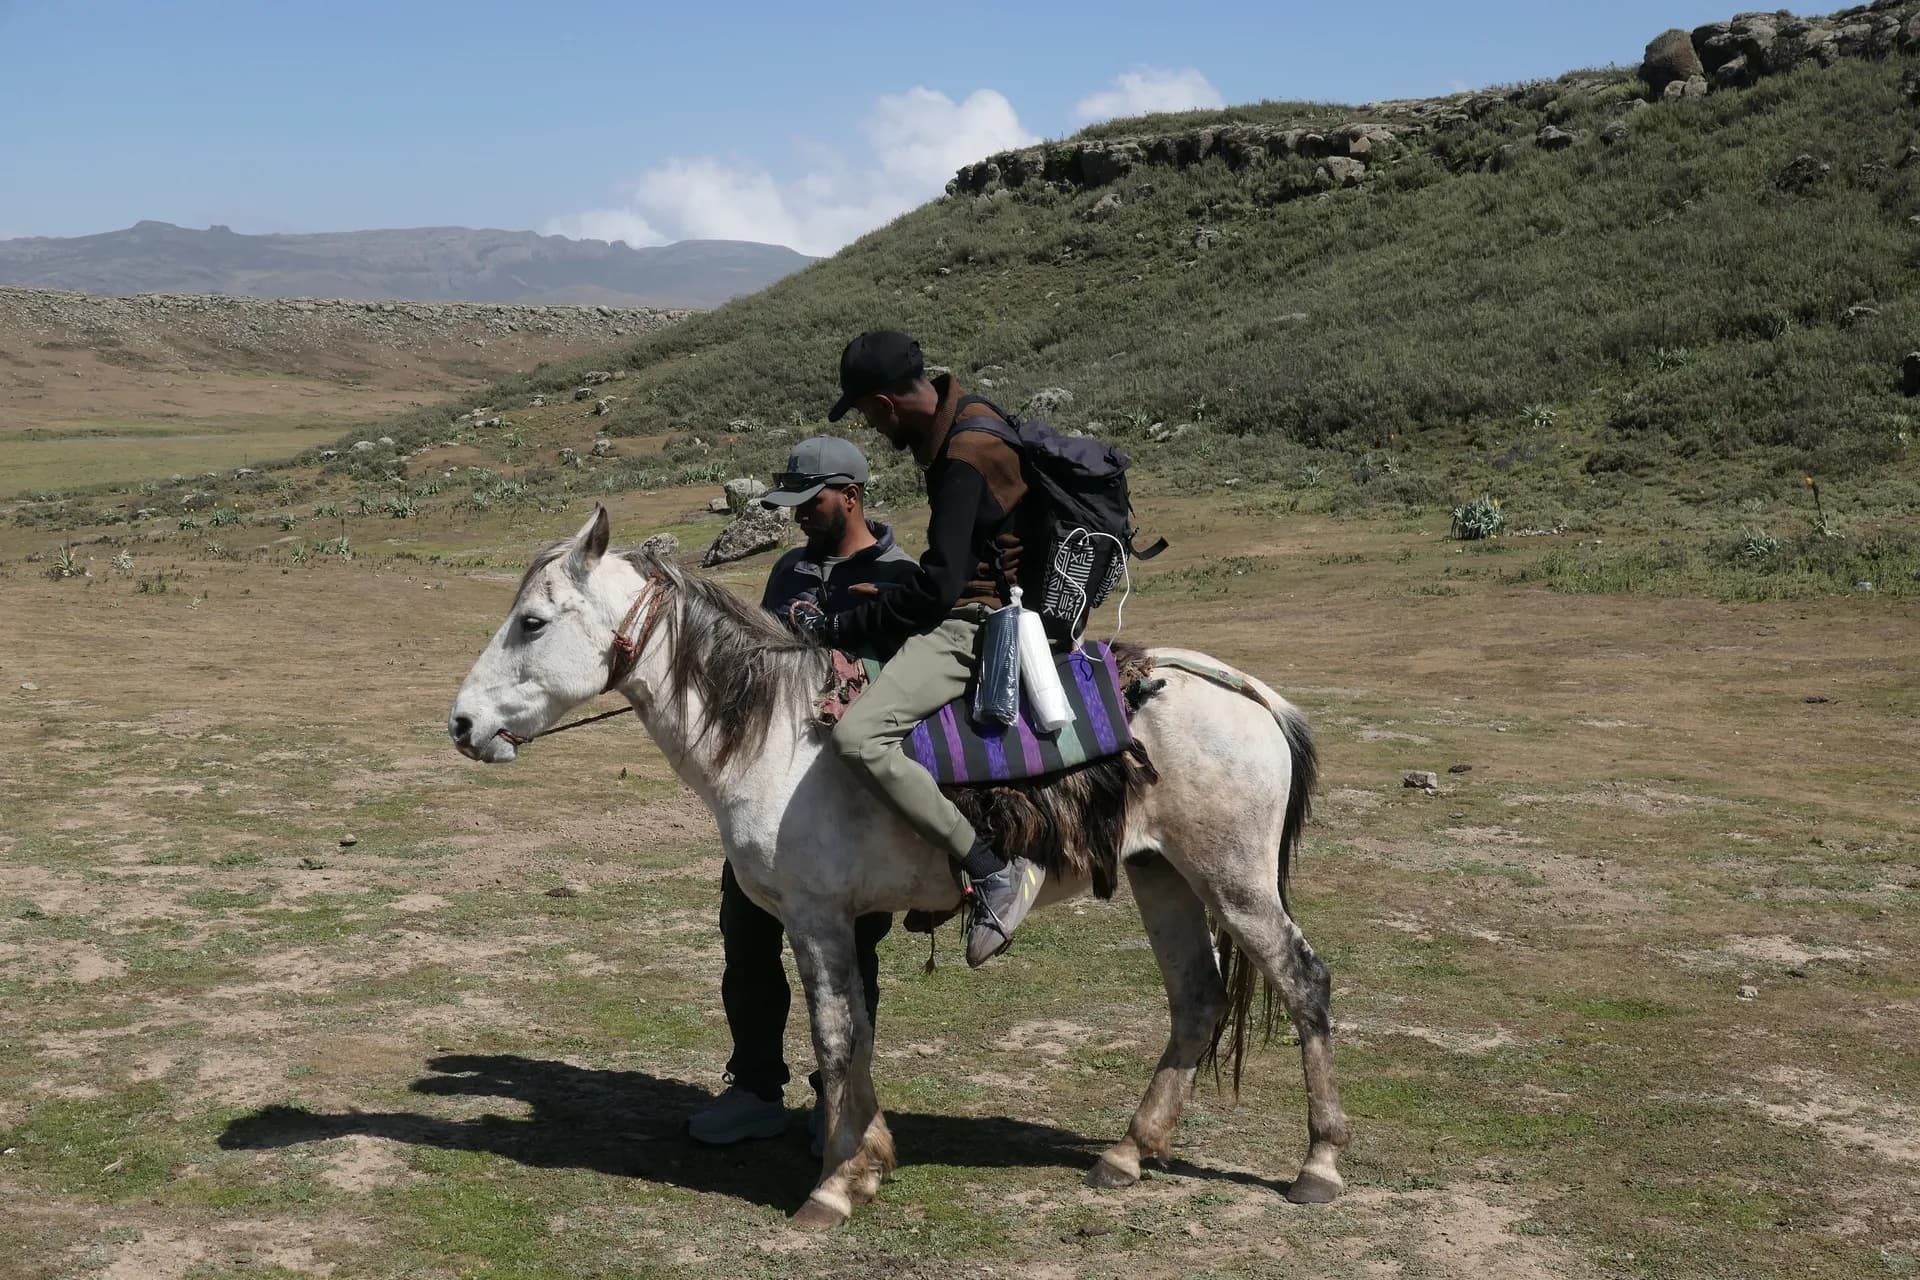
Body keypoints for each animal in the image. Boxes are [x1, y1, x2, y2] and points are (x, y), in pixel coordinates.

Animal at [447, 506, 1348, 1229]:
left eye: (532, 622)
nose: (460, 724)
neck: (777, 735)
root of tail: (1246, 691)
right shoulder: (836, 923)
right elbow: (856, 1036)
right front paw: (863, 1157)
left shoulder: (816, 916)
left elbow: (838, 1036)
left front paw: (835, 1187)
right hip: (1162, 876)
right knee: (1196, 1001)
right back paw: (1127, 1153)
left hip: (1234, 881)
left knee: (1304, 982)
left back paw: (1319, 1166)